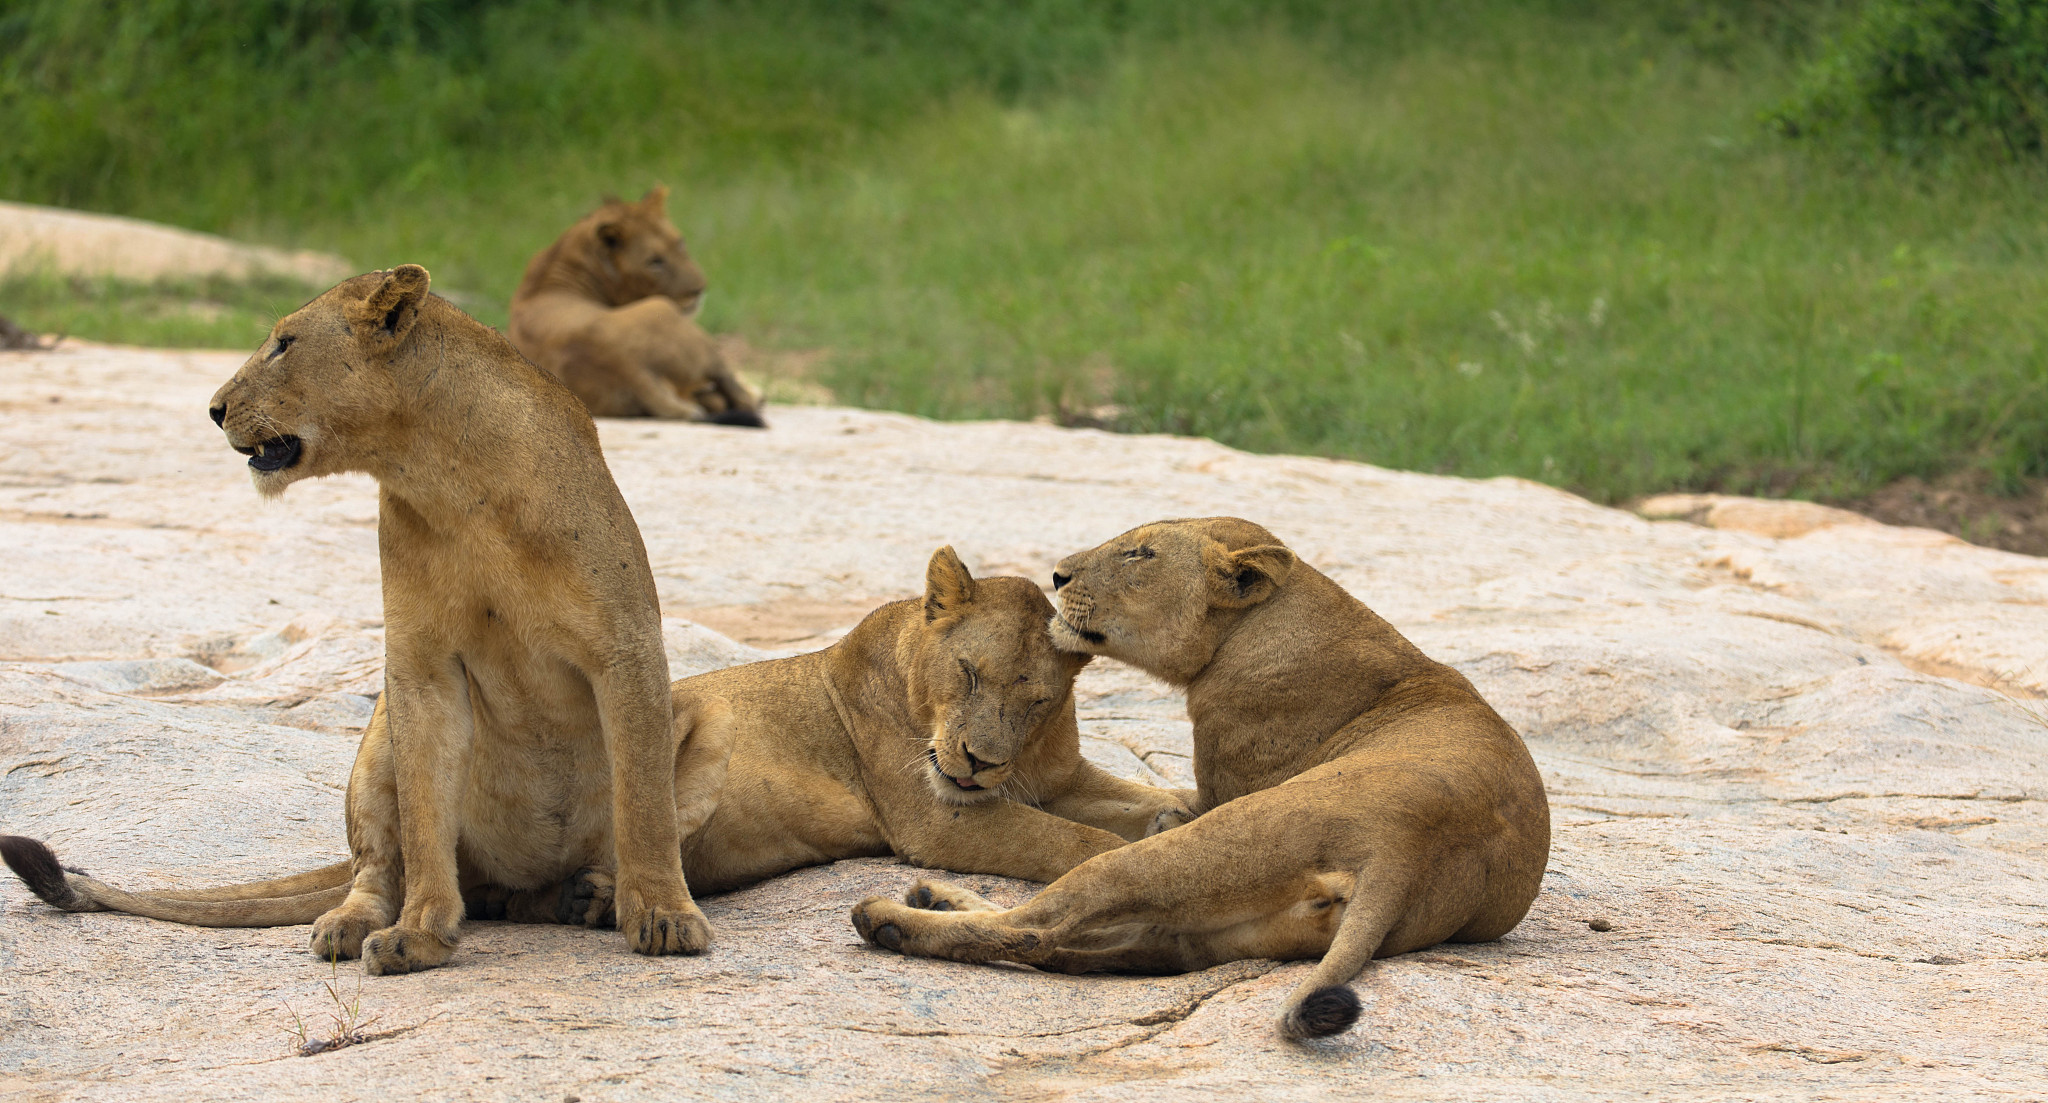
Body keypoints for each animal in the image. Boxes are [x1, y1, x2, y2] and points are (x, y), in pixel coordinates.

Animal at [0, 266, 718, 974]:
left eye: (284, 343)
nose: (214, 409)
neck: (450, 480)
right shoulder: (420, 668)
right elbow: (424, 817)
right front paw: (422, 932)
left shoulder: (625, 648)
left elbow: (645, 806)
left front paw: (663, 914)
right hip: (375, 742)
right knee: (375, 870)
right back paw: (356, 924)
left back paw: (586, 896)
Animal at [2, 547, 1192, 944]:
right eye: (970, 677)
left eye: (1033, 698)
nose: (982, 757)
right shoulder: (935, 813)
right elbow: (1058, 842)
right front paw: (1127, 852)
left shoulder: (1057, 769)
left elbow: (1126, 803)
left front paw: (1179, 811)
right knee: (405, 867)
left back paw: (589, 896)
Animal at [508, 187, 765, 426]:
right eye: (654, 262)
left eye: (680, 243)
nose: (699, 289)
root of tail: (627, 365)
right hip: (668, 313)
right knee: (739, 396)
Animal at [849, 517, 1551, 1039]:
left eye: (1140, 552)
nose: (1058, 575)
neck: (1268, 624)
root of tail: (1407, 851)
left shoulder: (1225, 787)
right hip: (1215, 933)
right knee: (1076, 945)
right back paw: (935, 900)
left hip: (1196, 849)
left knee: (1040, 925)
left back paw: (888, 919)